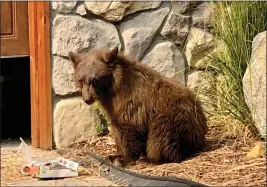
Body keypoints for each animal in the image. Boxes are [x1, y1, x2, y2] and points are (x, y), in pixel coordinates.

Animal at [68, 46, 208, 167]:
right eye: (81, 80)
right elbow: (117, 130)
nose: (87, 99)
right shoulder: (113, 109)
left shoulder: (131, 103)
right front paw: (114, 155)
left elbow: (128, 129)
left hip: (174, 117)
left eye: (95, 80)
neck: (113, 88)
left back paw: (150, 159)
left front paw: (123, 159)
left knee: (161, 134)